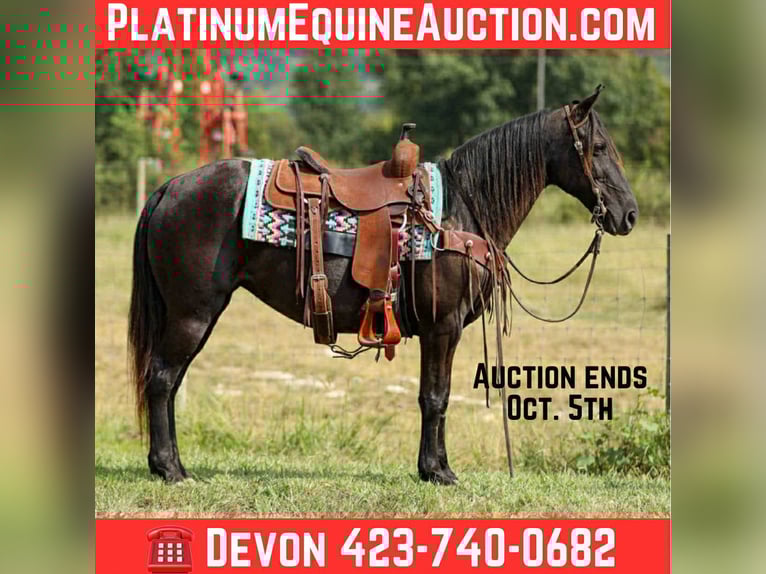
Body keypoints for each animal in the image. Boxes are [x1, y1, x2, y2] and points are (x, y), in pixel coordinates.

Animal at [128, 87, 638, 484]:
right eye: (597, 147)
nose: (629, 215)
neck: (461, 210)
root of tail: (169, 187)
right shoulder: (442, 327)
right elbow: (435, 397)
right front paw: (438, 471)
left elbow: (435, 397)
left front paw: (433, 467)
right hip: (193, 314)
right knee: (162, 379)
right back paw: (169, 469)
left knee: (171, 382)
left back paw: (171, 465)